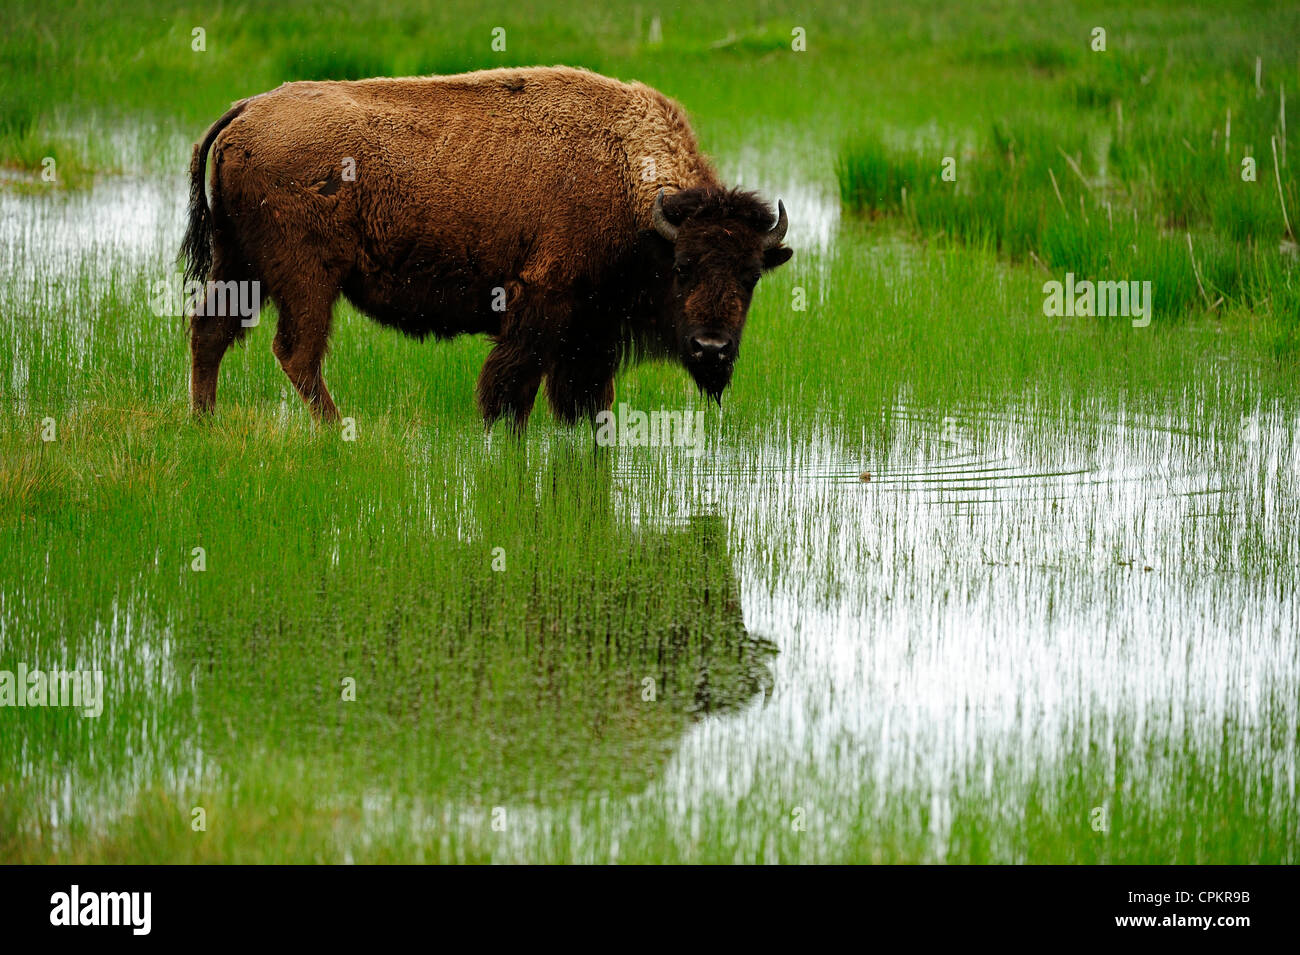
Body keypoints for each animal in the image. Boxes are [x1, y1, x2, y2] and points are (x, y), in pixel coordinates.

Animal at [180, 65, 790, 428]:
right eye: (683, 267)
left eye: (751, 275)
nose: (712, 349)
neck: (626, 181)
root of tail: (248, 109)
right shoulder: (540, 311)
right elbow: (510, 390)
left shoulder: (590, 336)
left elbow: (586, 404)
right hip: (308, 278)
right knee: (297, 352)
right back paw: (336, 430)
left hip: (240, 265)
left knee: (210, 331)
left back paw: (204, 424)